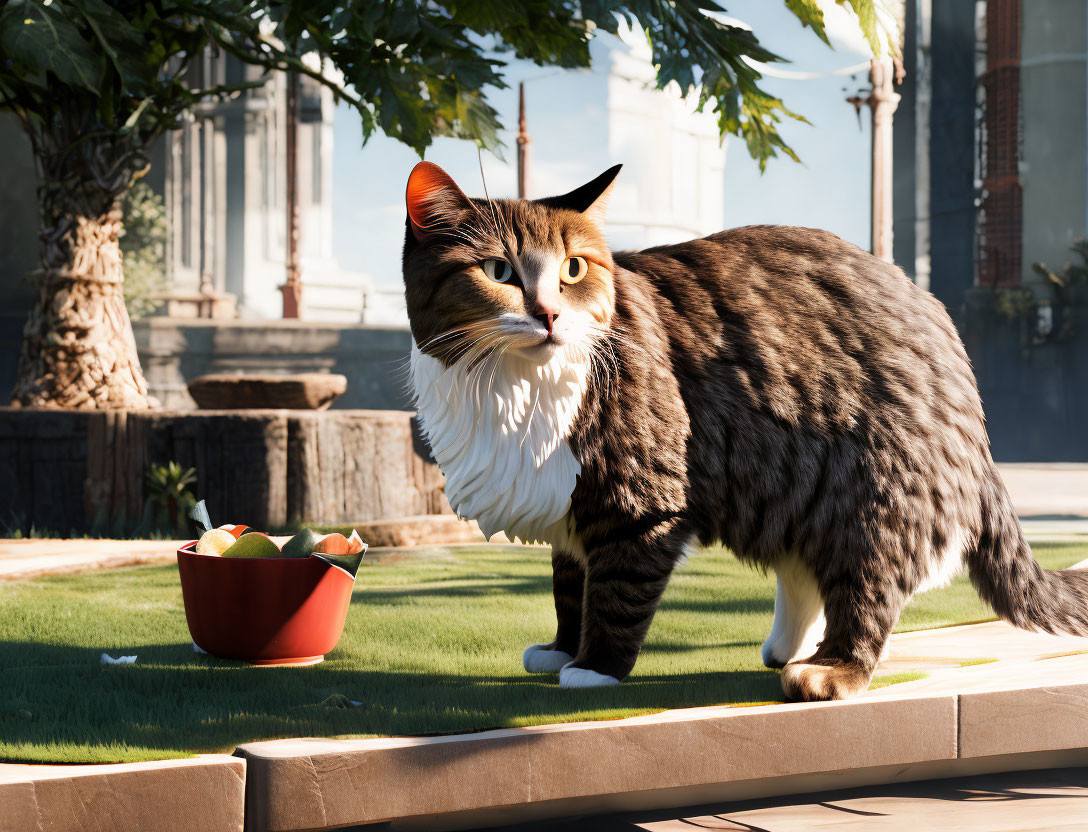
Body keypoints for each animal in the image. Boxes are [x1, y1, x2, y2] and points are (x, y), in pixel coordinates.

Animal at [402, 158, 1088, 696]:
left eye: (573, 269)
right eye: (498, 271)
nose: (548, 314)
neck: (513, 388)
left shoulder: (639, 502)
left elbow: (615, 588)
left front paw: (595, 667)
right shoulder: (567, 500)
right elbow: (570, 582)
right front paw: (562, 647)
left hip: (875, 494)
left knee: (868, 593)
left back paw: (829, 669)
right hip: (790, 485)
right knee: (806, 567)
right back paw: (788, 648)